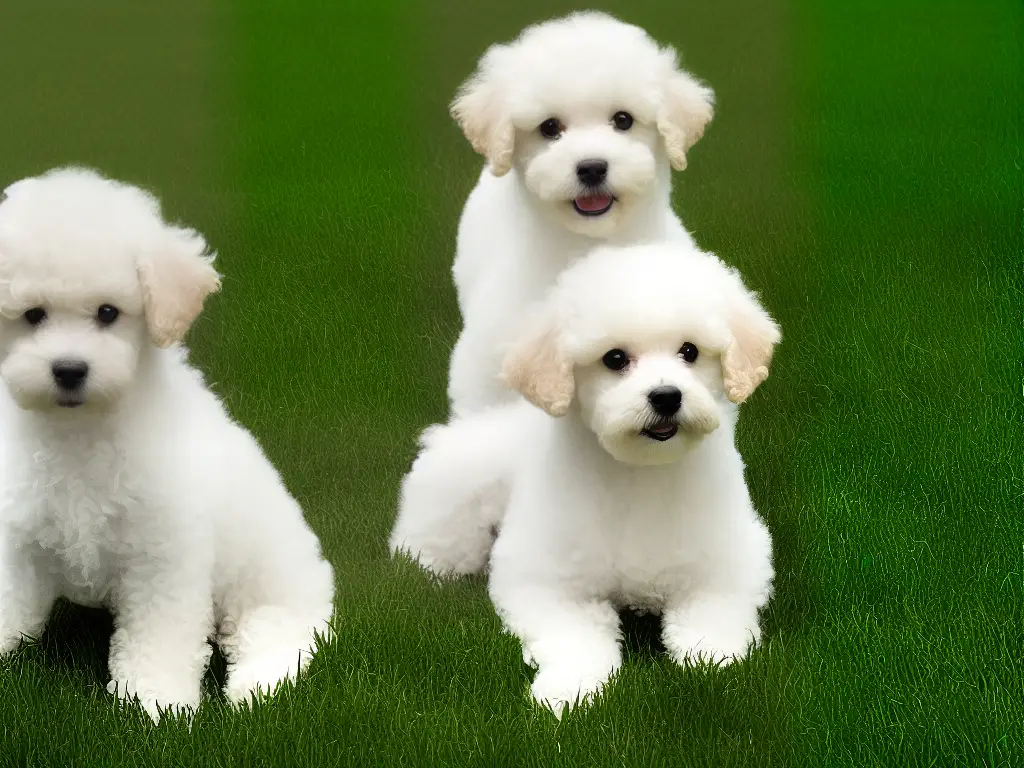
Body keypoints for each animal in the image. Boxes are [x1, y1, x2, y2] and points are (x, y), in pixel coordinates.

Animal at [0, 167, 335, 720]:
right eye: (32, 316)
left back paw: (256, 687)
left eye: (108, 313)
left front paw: (153, 705)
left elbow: (159, 638)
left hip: (270, 588)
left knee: (281, 637)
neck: (82, 429)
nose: (69, 369)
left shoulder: (163, 555)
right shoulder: (17, 537)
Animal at [391, 243, 782, 712]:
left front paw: (713, 655)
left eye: (689, 351)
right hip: (450, 514)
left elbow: (713, 614)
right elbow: (573, 636)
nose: (666, 396)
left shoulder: (725, 559)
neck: (640, 472)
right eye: (614, 359)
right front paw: (567, 688)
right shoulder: (549, 581)